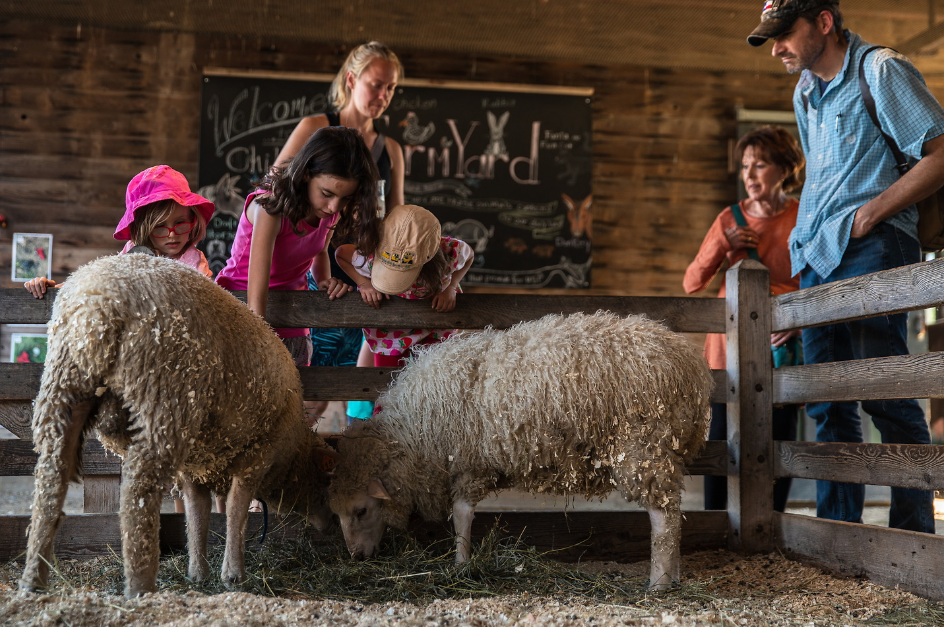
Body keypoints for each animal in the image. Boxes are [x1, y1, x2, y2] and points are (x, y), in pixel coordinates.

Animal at [18, 255, 338, 600]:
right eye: (326, 483)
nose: (331, 524)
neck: (292, 456)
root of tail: (98, 304)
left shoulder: (195, 465)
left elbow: (197, 513)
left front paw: (198, 572)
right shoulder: (256, 456)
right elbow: (235, 510)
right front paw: (233, 575)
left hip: (63, 387)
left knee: (51, 478)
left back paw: (34, 578)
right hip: (163, 399)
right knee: (137, 493)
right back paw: (141, 586)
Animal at [328, 312, 712, 592]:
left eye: (361, 510)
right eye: (337, 512)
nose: (356, 557)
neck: (412, 433)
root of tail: (691, 365)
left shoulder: (468, 463)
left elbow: (462, 513)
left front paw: (461, 564)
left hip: (644, 447)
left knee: (662, 517)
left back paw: (658, 583)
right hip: (668, 450)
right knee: (674, 515)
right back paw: (674, 577)